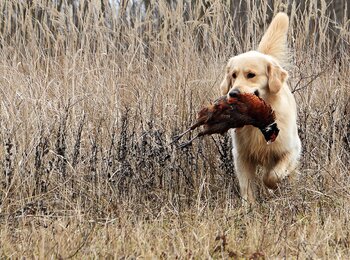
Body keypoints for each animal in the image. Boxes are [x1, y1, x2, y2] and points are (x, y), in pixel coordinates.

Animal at [221, 12, 300, 203]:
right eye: (233, 75)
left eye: (251, 75)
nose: (232, 93)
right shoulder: (242, 155)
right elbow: (247, 185)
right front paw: (249, 206)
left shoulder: (291, 149)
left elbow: (273, 175)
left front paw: (272, 186)